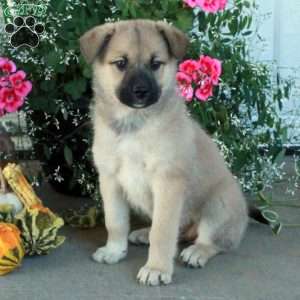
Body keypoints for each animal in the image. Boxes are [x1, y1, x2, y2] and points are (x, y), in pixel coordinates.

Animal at [79, 18, 248, 286]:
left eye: (155, 64)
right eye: (121, 63)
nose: (141, 92)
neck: (135, 124)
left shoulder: (168, 182)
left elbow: (163, 231)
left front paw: (156, 268)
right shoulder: (110, 179)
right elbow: (115, 221)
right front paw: (114, 250)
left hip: (218, 205)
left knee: (214, 241)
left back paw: (197, 251)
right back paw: (143, 233)